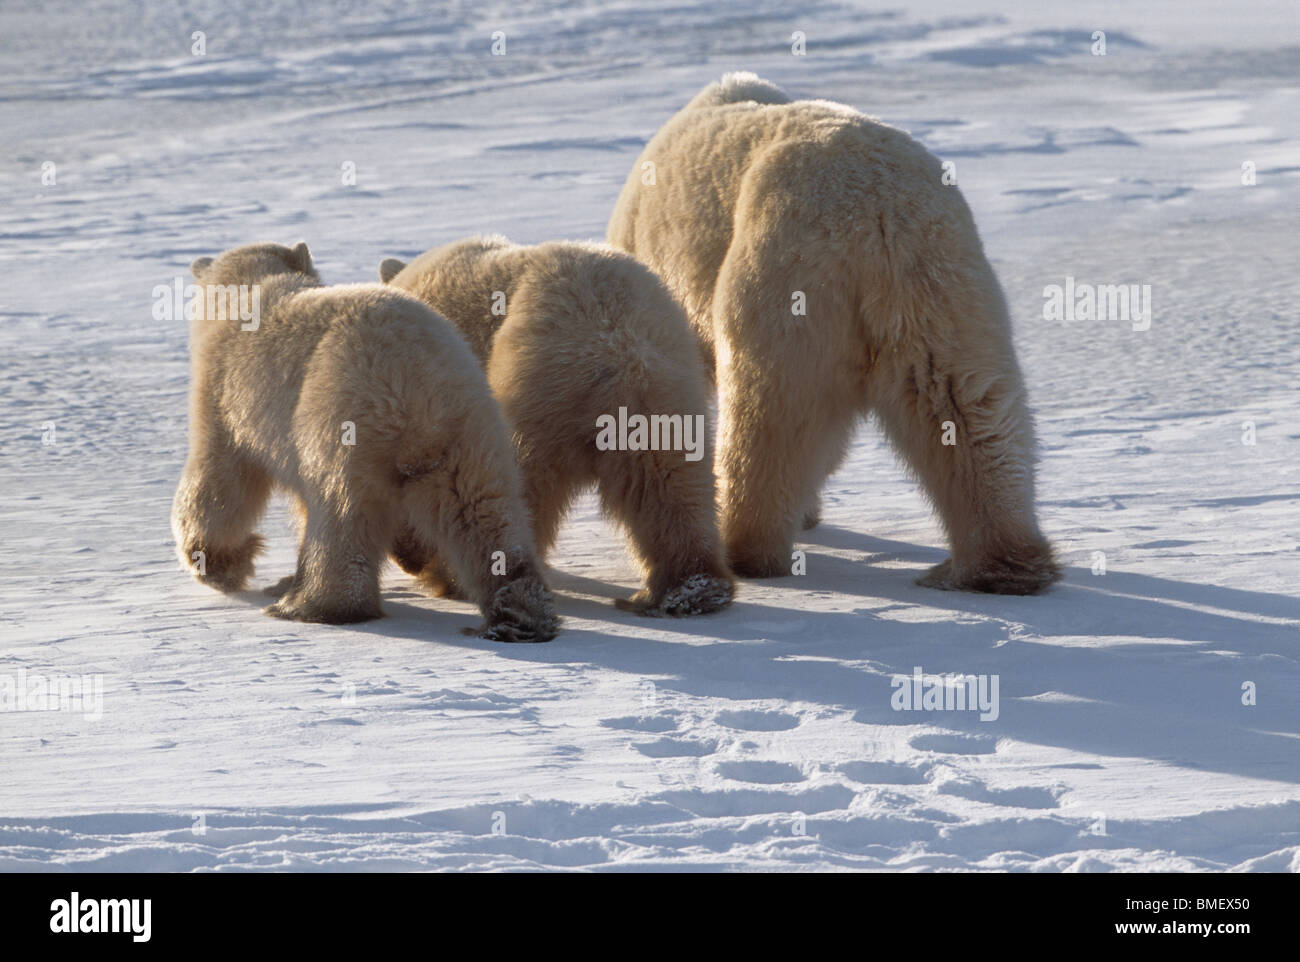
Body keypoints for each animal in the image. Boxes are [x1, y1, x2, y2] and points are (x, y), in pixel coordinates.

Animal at [172, 239, 559, 639]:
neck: (249, 290)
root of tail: (415, 384)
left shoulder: (221, 393)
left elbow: (219, 481)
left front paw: (216, 563)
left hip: (339, 417)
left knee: (340, 511)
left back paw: (312, 606)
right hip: (473, 429)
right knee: (483, 510)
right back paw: (518, 611)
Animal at [379, 239, 733, 616]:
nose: (408, 560)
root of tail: (618, 352)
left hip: (535, 389)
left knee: (521, 483)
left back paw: (458, 578)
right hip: (670, 393)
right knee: (671, 482)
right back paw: (692, 586)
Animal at [608, 73, 1055, 592]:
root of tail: (879, 210)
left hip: (790, 268)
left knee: (772, 407)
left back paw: (746, 547)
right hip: (944, 277)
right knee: (964, 401)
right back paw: (1003, 561)